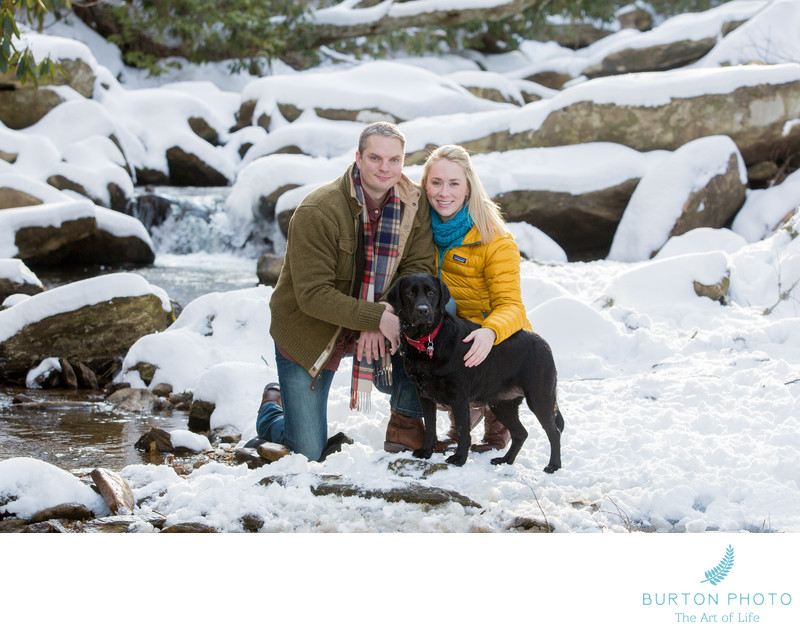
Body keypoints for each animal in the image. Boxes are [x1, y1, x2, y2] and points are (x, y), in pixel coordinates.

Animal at [386, 274, 564, 472]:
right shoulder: (424, 395)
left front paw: (459, 458)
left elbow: (463, 430)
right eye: (410, 293)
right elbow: (430, 426)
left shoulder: (458, 397)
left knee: (554, 432)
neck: (427, 340)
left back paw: (553, 465)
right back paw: (505, 460)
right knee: (521, 433)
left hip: (539, 398)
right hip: (502, 404)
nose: (423, 311)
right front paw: (426, 452)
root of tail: (544, 343)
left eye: (431, 292)